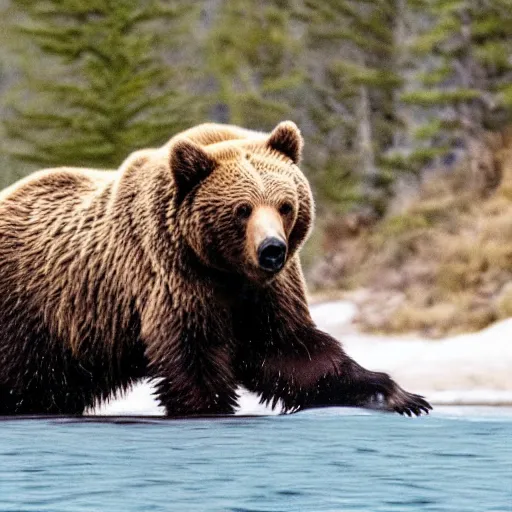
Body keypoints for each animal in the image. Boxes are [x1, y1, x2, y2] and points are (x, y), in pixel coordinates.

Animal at [0, 121, 432, 416]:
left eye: (285, 205)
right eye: (242, 209)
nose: (272, 249)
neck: (225, 269)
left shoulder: (263, 292)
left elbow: (289, 351)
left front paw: (396, 394)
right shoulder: (172, 277)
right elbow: (195, 358)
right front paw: (210, 407)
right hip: (30, 317)